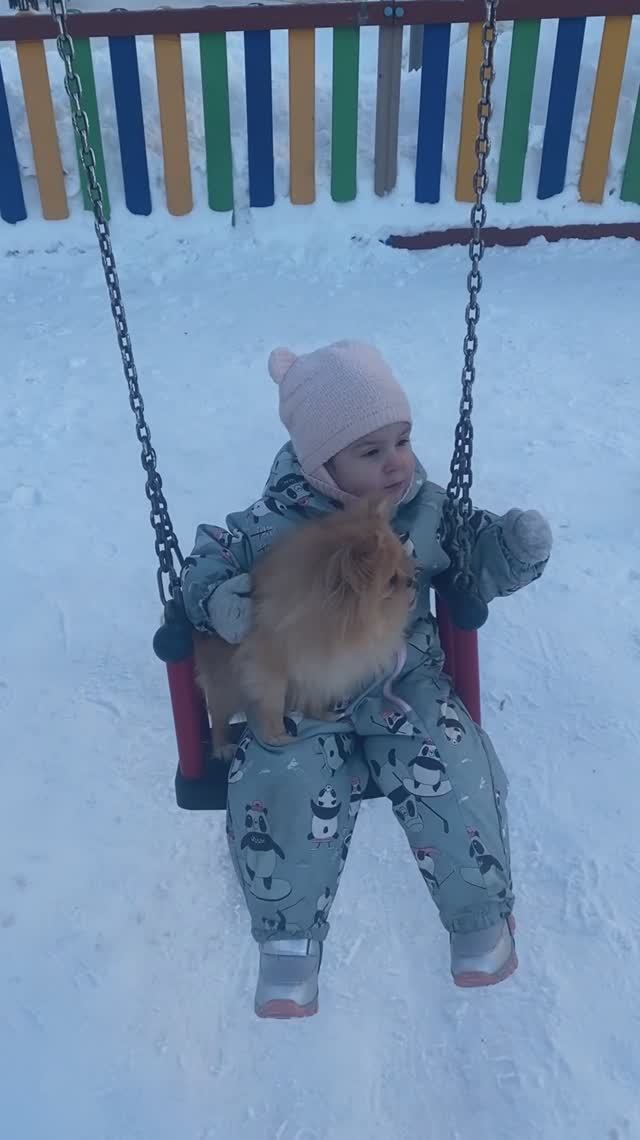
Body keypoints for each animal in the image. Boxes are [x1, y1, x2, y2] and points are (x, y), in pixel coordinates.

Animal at [191, 492, 417, 752]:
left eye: (402, 564)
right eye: (391, 580)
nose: (413, 581)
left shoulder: (319, 669)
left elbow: (316, 696)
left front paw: (323, 716)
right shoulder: (268, 670)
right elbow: (272, 705)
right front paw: (277, 736)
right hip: (225, 685)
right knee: (219, 716)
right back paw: (221, 747)